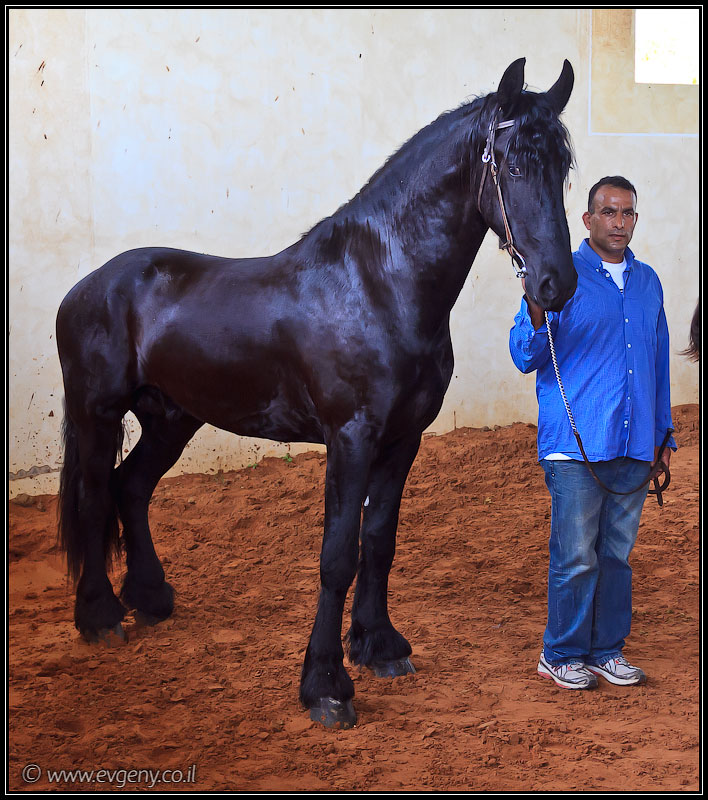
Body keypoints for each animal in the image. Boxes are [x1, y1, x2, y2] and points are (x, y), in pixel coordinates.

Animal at [56, 58, 576, 729]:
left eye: (562, 166)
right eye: (512, 164)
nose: (556, 284)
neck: (380, 286)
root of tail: (88, 286)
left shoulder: (403, 439)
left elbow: (379, 540)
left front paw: (380, 646)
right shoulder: (350, 438)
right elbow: (338, 555)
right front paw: (326, 685)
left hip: (172, 418)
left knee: (132, 487)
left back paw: (150, 598)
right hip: (97, 414)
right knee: (96, 498)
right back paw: (100, 616)